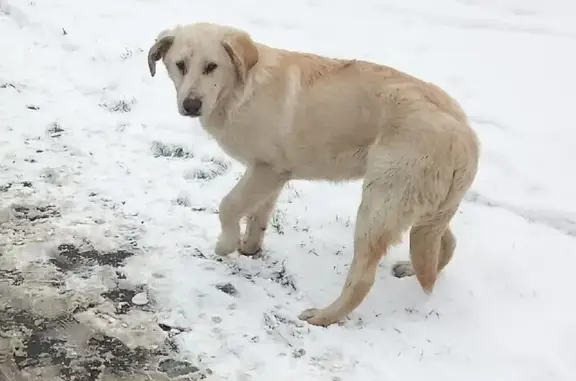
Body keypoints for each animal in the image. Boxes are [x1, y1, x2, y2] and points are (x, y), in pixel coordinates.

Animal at [146, 22, 480, 326]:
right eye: (180, 65)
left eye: (211, 67)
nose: (191, 105)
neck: (243, 86)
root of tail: (464, 135)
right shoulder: (273, 173)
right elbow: (258, 216)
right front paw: (249, 248)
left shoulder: (266, 169)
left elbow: (228, 206)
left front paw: (225, 245)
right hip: (422, 210)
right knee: (443, 244)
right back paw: (412, 269)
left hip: (378, 208)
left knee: (362, 280)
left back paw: (323, 316)